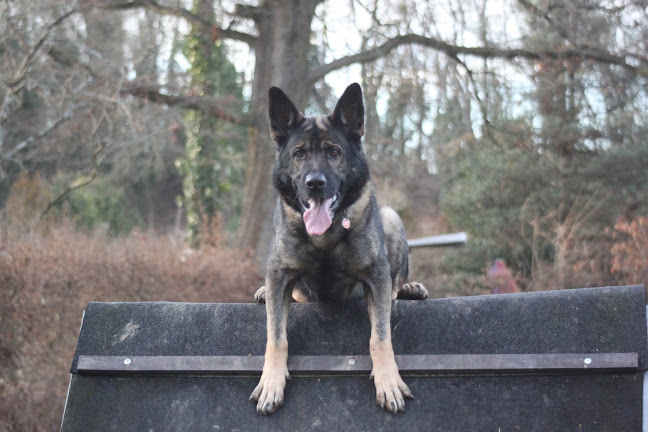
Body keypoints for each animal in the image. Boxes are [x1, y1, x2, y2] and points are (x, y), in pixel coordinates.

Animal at [251, 82, 428, 416]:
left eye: (333, 152)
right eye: (299, 154)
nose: (315, 183)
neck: (326, 238)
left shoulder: (376, 276)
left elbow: (380, 337)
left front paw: (388, 381)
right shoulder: (280, 274)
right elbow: (275, 337)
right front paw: (271, 382)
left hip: (391, 218)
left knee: (396, 284)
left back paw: (410, 288)